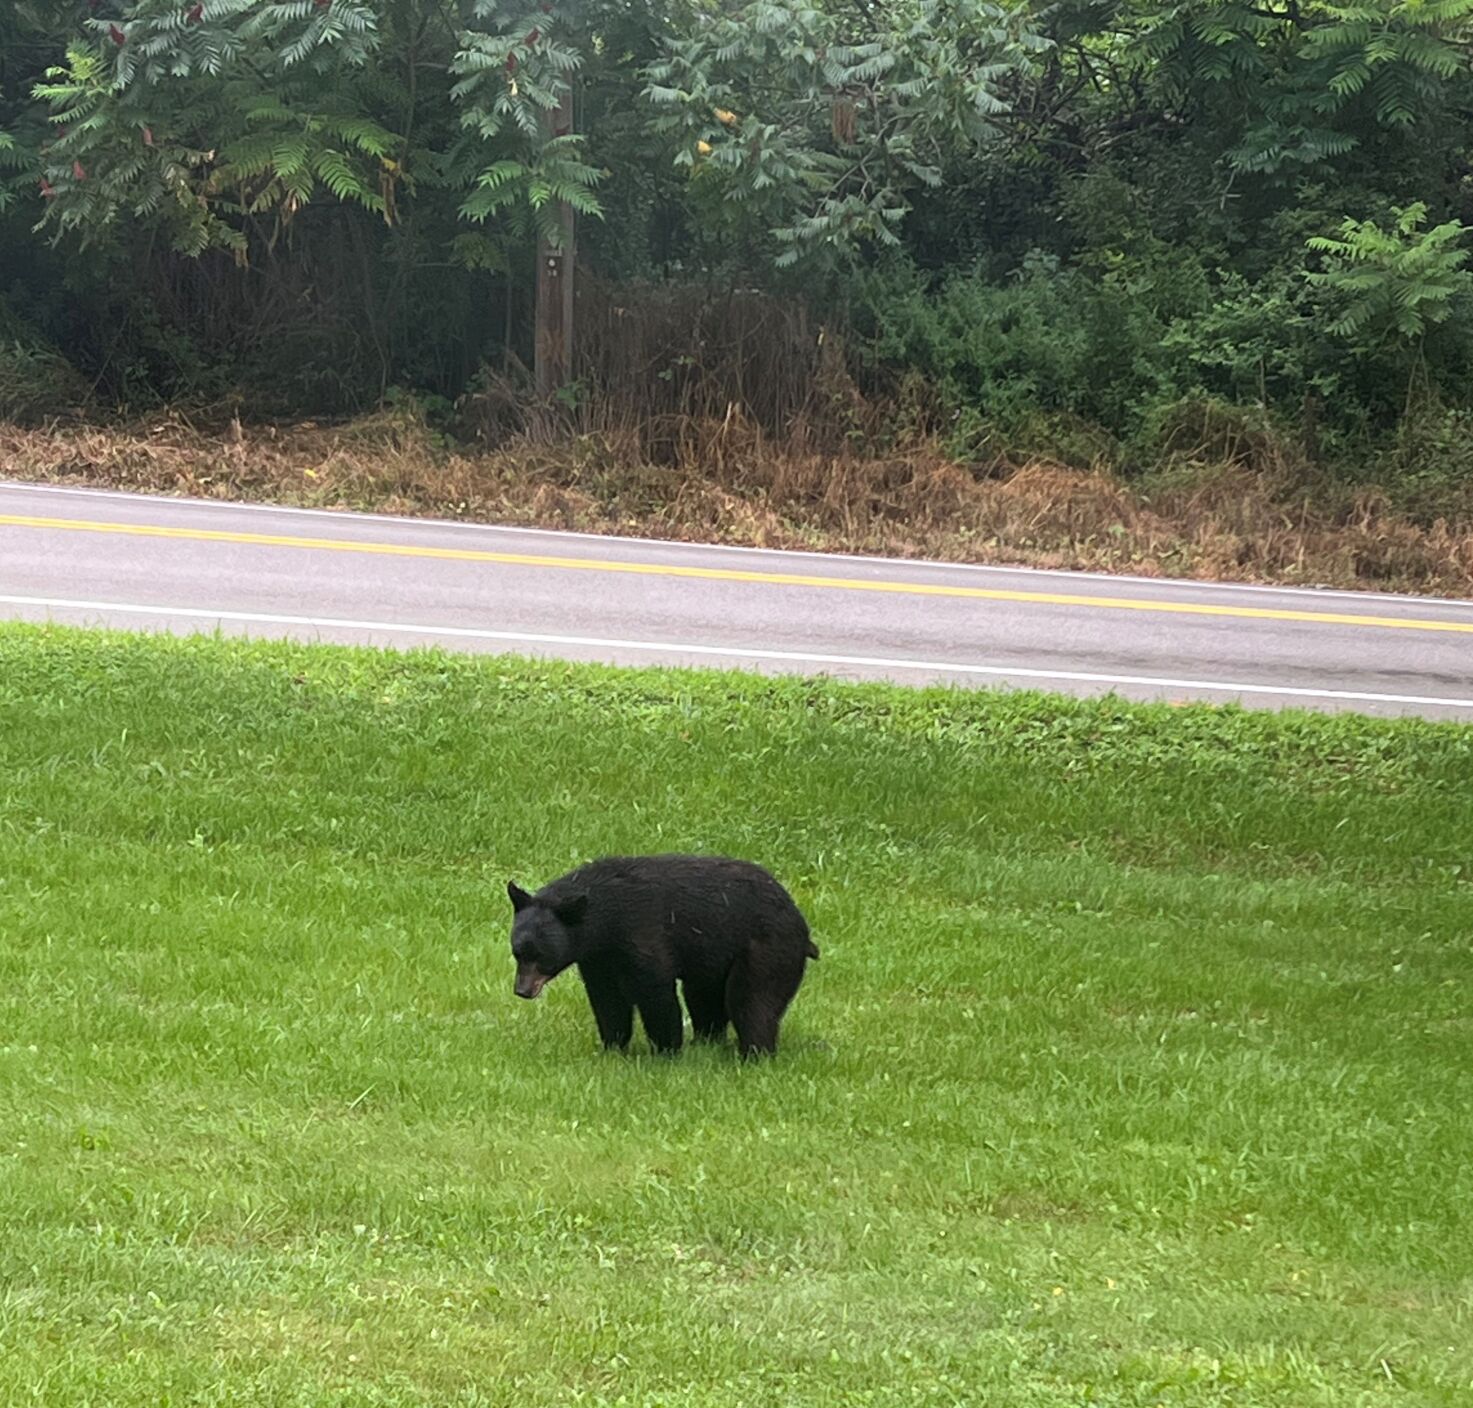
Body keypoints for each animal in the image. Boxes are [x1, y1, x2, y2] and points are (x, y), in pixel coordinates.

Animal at [506, 860, 818, 1054]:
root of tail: (803, 927)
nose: (522, 990)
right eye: (517, 953)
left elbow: (655, 991)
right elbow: (607, 999)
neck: (605, 920)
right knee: (704, 998)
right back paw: (706, 1044)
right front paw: (613, 1047)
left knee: (752, 1001)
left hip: (766, 949)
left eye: (541, 956)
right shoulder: (598, 958)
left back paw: (753, 1053)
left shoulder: (642, 933)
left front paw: (666, 1050)